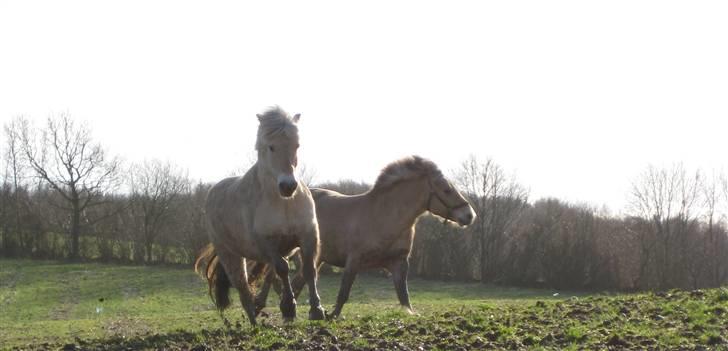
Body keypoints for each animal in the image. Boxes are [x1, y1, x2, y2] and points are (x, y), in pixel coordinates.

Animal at [196, 107, 328, 328]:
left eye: (297, 145)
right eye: (271, 147)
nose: (288, 186)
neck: (283, 202)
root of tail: (213, 191)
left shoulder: (308, 235)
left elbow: (309, 270)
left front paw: (316, 309)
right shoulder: (266, 244)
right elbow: (283, 269)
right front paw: (290, 307)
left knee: (269, 276)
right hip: (230, 255)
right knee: (243, 286)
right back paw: (254, 322)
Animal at [253, 157, 474, 320]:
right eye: (446, 190)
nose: (469, 215)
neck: (384, 217)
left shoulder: (399, 263)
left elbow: (404, 297)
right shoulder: (354, 261)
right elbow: (344, 292)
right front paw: (331, 315)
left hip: (316, 257)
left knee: (299, 280)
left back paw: (294, 310)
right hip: (290, 249)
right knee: (272, 274)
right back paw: (261, 306)